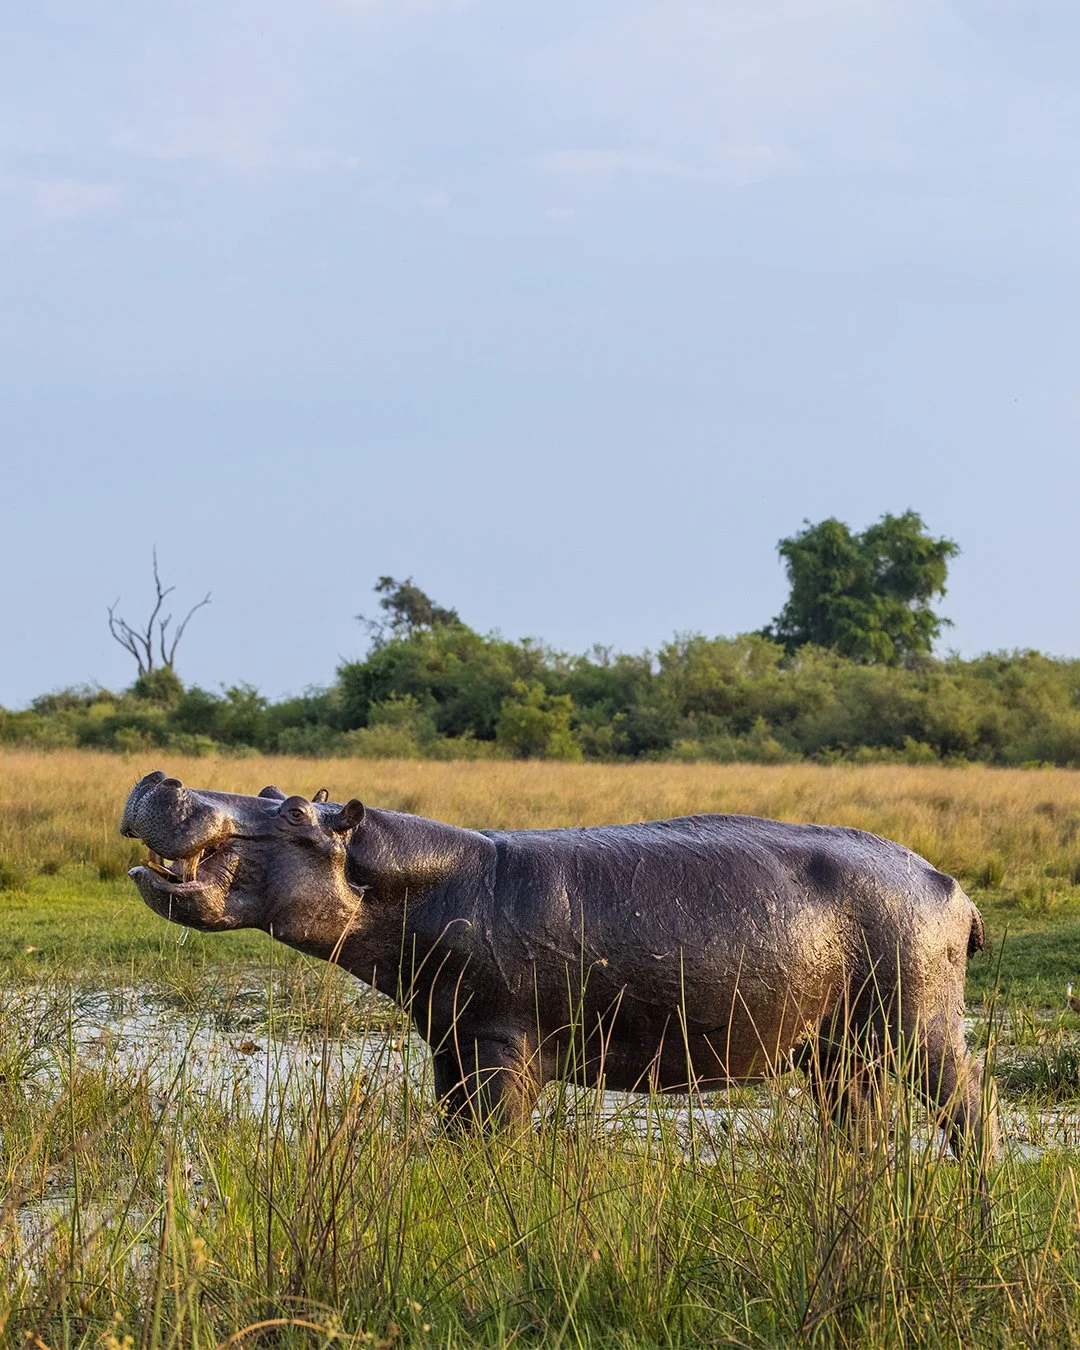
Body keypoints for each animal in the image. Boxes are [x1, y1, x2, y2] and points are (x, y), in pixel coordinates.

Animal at [121, 771, 998, 1158]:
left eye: (299, 814)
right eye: (272, 787)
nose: (164, 778)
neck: (414, 879)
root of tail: (951, 887)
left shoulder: (500, 1043)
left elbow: (496, 1135)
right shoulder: (452, 1041)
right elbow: (454, 1127)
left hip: (921, 1028)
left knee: (968, 1103)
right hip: (838, 1048)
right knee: (859, 1123)